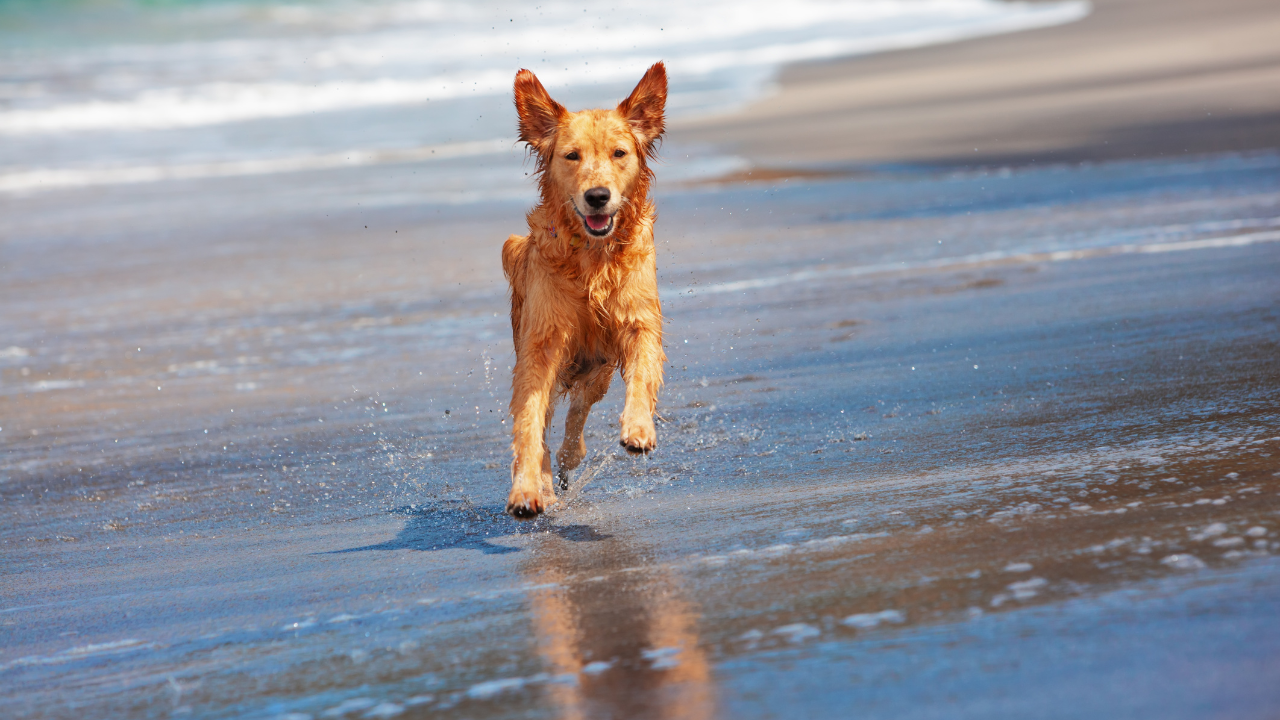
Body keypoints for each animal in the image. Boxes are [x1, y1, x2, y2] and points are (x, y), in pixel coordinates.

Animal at [499, 63, 665, 515]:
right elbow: (529, 421)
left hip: (598, 371)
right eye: (571, 155)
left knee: (577, 416)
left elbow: (643, 373)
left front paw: (638, 429)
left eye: (619, 153)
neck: (592, 258)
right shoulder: (541, 344)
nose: (597, 196)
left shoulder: (637, 322)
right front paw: (526, 489)